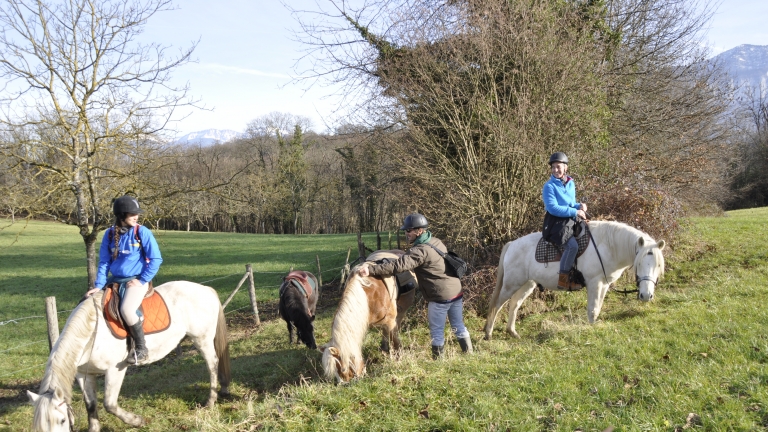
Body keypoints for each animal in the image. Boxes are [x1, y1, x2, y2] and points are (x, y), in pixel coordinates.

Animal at [27, 280, 231, 432]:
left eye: (62, 420)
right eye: (39, 427)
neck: (92, 332)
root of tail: (206, 289)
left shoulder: (115, 370)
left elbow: (109, 404)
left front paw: (137, 421)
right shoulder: (84, 374)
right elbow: (91, 405)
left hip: (202, 339)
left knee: (212, 364)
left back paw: (210, 401)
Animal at [318, 250, 414, 384]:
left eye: (343, 369)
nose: (344, 384)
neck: (367, 295)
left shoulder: (391, 321)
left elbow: (395, 339)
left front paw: (399, 358)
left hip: (401, 310)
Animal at [484, 221, 664, 340]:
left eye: (658, 265)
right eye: (639, 263)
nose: (646, 296)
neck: (607, 247)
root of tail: (511, 244)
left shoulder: (604, 285)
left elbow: (597, 308)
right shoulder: (594, 283)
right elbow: (592, 310)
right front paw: (591, 330)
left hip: (527, 284)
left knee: (515, 303)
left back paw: (512, 332)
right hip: (511, 284)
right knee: (497, 305)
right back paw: (488, 333)